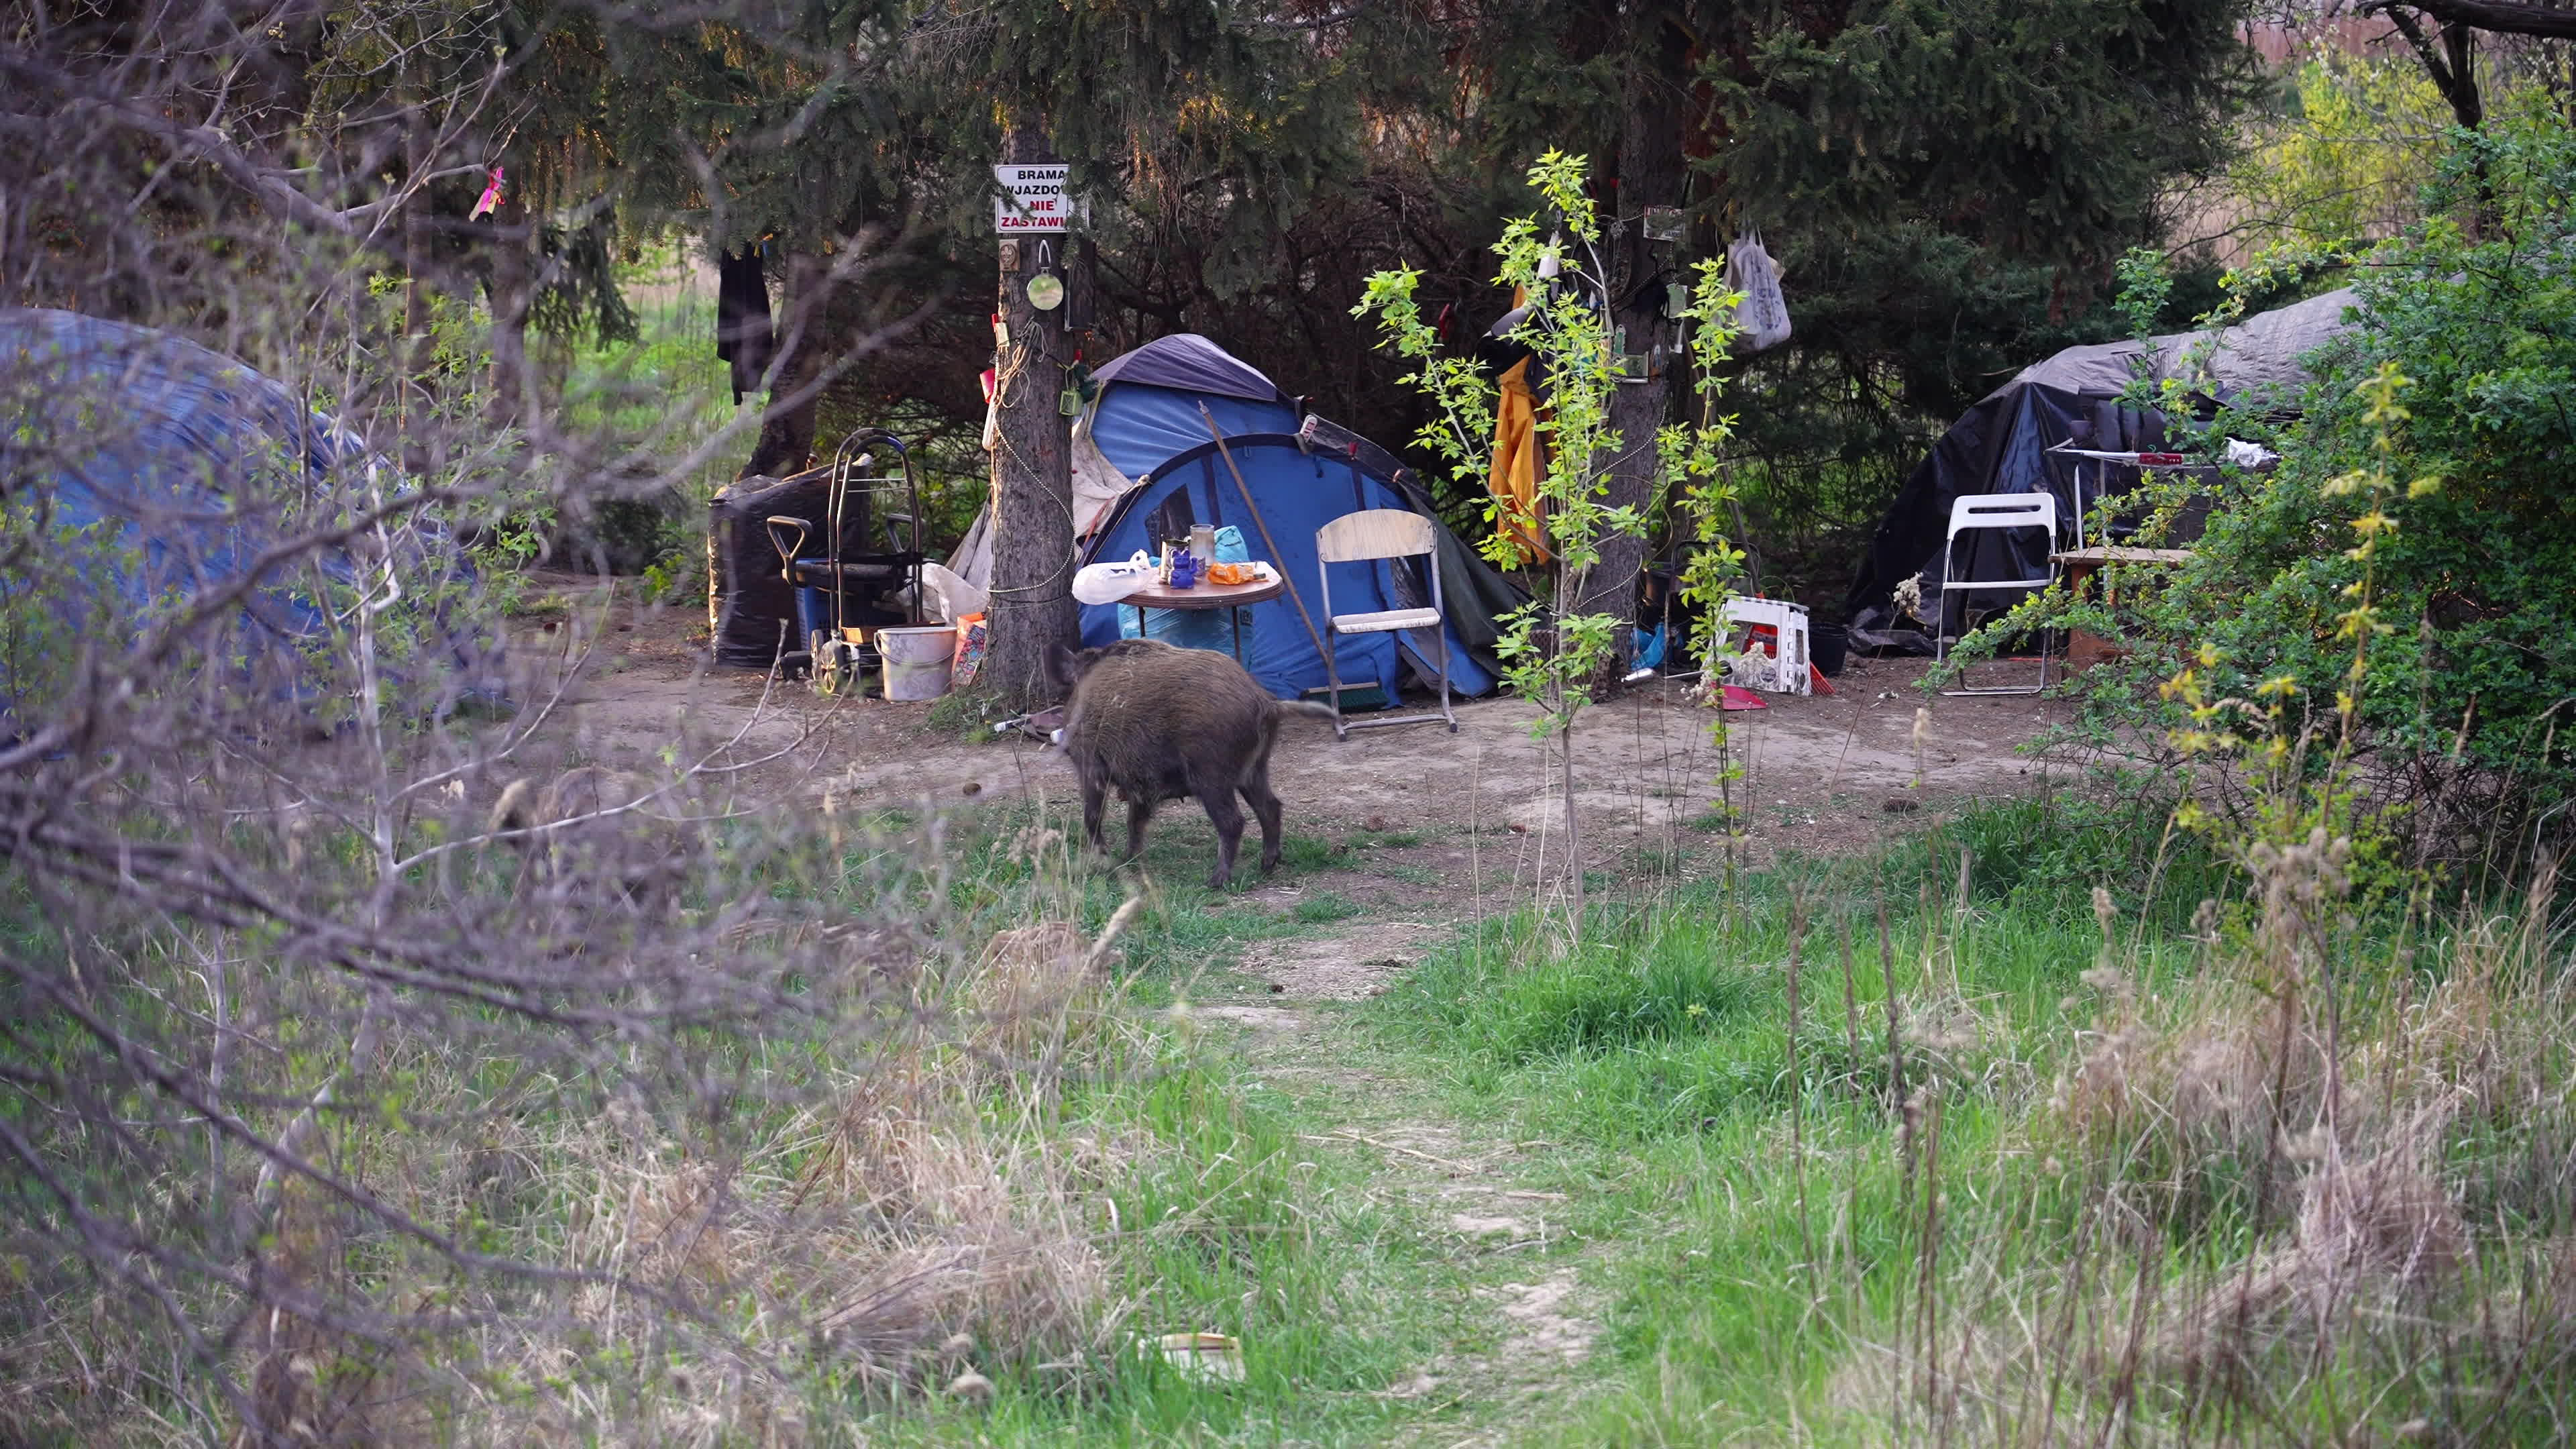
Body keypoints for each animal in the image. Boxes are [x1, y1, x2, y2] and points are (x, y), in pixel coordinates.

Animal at [1046, 638, 1334, 889]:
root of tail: (1266, 704)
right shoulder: (1141, 784)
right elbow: (1134, 820)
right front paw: (1129, 859)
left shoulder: (1092, 766)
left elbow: (1093, 816)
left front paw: (1104, 861)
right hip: (1254, 770)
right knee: (1270, 807)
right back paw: (1266, 866)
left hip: (1211, 775)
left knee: (1233, 821)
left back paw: (1216, 881)